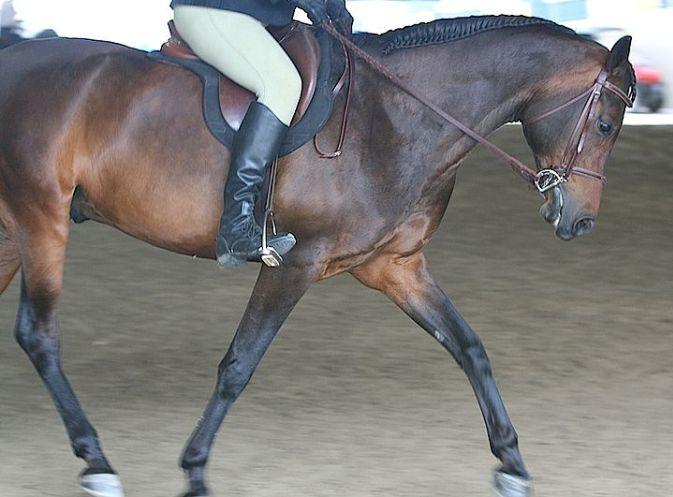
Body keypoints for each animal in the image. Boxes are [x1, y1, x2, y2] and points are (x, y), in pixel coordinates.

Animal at [0, 15, 635, 497]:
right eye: (605, 124)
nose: (580, 221)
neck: (397, 117)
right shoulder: (297, 262)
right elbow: (239, 365)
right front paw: (195, 469)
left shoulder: (394, 267)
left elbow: (469, 348)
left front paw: (512, 463)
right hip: (41, 220)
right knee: (39, 334)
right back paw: (97, 463)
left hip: (14, 231)